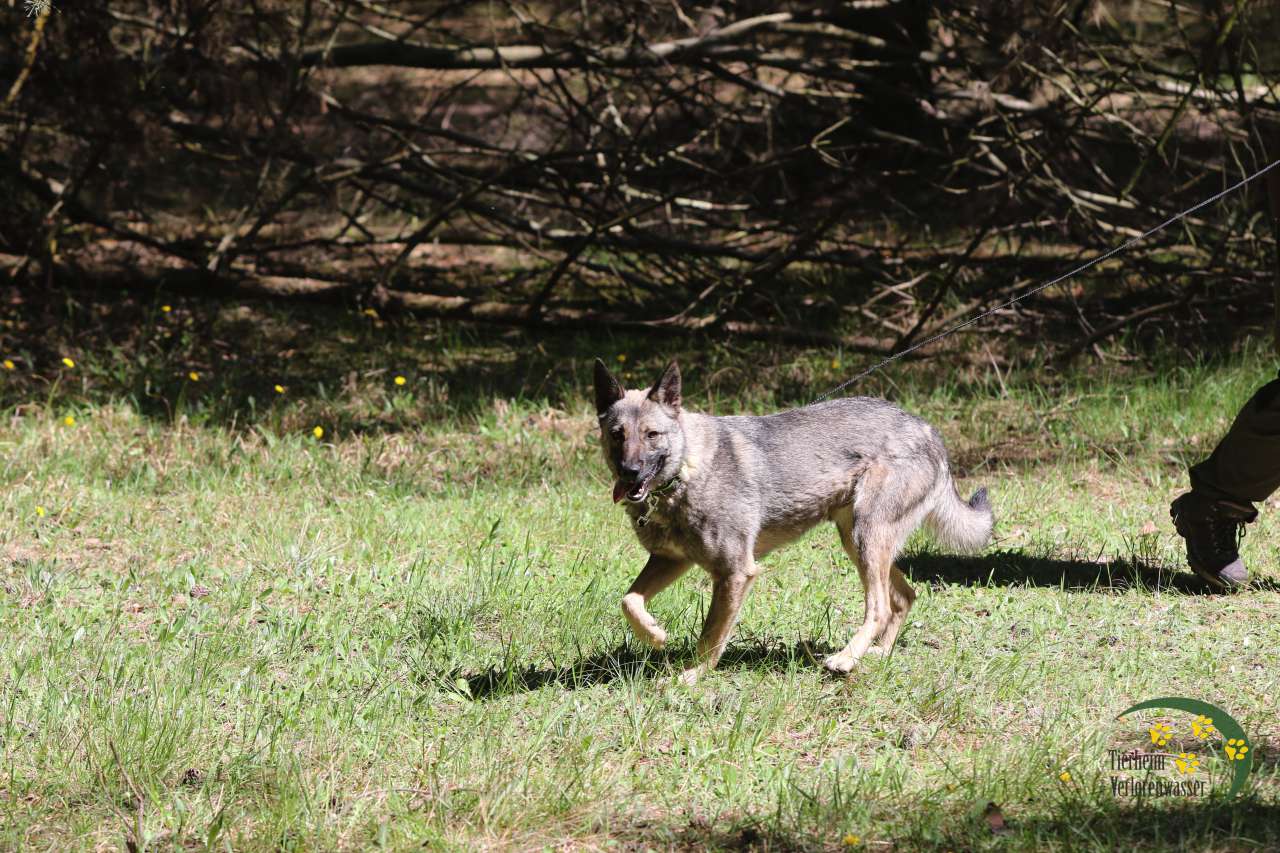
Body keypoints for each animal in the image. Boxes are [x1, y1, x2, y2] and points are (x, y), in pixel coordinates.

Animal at [593, 358, 993, 684]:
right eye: (617, 435)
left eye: (652, 434)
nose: (629, 472)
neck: (687, 468)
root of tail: (929, 431)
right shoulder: (672, 560)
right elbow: (629, 600)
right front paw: (654, 634)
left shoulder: (735, 573)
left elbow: (711, 637)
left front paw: (691, 676)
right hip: (857, 542)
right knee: (905, 596)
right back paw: (877, 654)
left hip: (866, 538)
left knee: (879, 607)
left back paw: (846, 659)